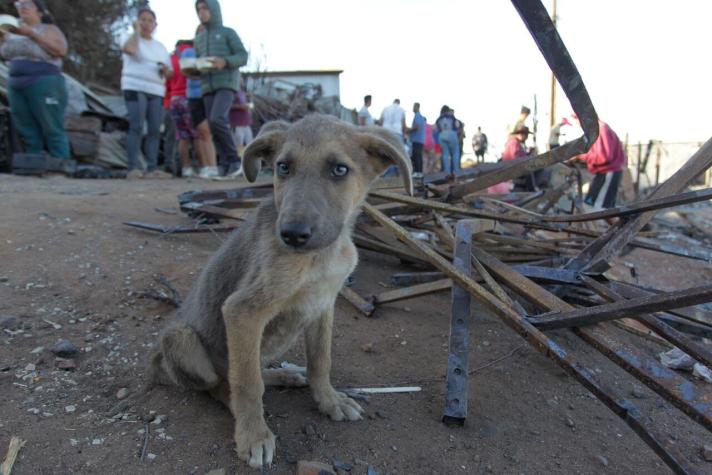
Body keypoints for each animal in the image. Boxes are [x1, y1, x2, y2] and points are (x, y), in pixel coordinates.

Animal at [149, 114, 412, 468]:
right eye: (283, 167)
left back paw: (284, 376)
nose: (292, 234)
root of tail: (156, 364)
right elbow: (247, 384)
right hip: (182, 341)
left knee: (252, 368)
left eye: (339, 169)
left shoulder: (323, 305)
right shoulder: (241, 311)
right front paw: (254, 435)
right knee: (221, 382)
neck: (321, 255)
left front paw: (329, 401)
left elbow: (320, 360)